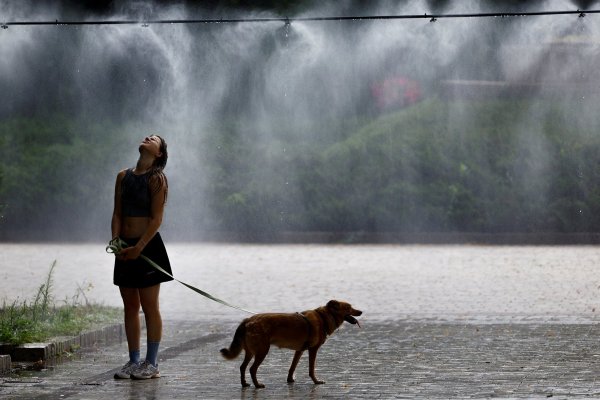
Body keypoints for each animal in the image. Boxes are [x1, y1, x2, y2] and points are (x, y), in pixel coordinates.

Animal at [220, 300, 360, 388]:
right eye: (348, 307)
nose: (361, 312)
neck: (324, 317)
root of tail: (248, 320)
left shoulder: (300, 350)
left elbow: (292, 367)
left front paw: (290, 380)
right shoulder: (313, 350)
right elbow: (311, 369)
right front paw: (316, 381)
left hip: (250, 352)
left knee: (242, 367)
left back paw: (244, 384)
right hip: (262, 351)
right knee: (252, 369)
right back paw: (257, 385)